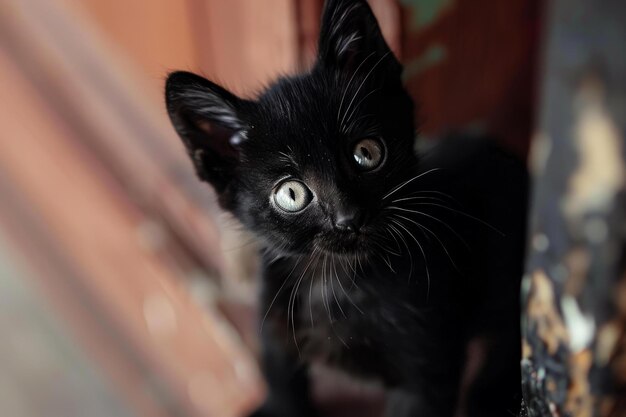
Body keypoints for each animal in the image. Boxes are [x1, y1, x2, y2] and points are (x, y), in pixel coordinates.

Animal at [163, 1, 524, 414]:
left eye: (366, 153)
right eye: (291, 194)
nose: (348, 218)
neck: (336, 283)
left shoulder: (429, 368)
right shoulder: (274, 328)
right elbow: (282, 384)